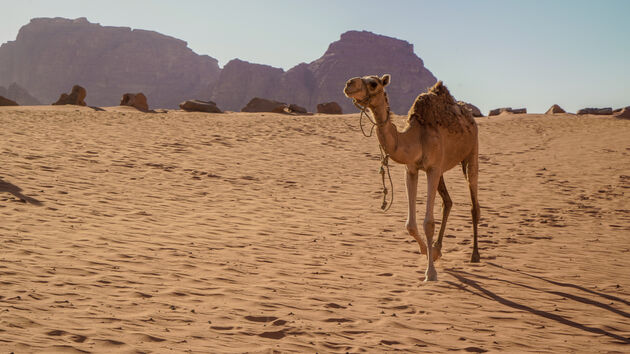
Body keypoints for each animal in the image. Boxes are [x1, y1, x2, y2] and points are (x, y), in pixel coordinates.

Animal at [344, 75, 482, 282]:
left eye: (374, 83)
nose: (348, 84)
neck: (416, 137)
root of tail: (469, 115)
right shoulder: (411, 169)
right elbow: (410, 224)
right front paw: (427, 251)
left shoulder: (432, 169)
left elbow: (428, 223)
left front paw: (430, 273)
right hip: (443, 168)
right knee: (448, 202)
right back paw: (437, 249)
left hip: (472, 151)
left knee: (474, 203)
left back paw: (475, 255)